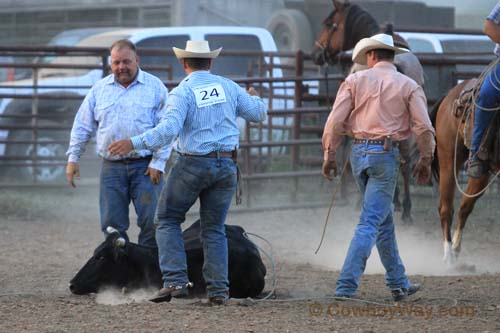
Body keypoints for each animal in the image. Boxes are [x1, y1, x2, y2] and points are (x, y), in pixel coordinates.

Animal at [430, 79, 500, 266]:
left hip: (482, 172)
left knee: (464, 207)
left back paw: (455, 249)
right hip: (448, 162)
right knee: (446, 208)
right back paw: (448, 255)